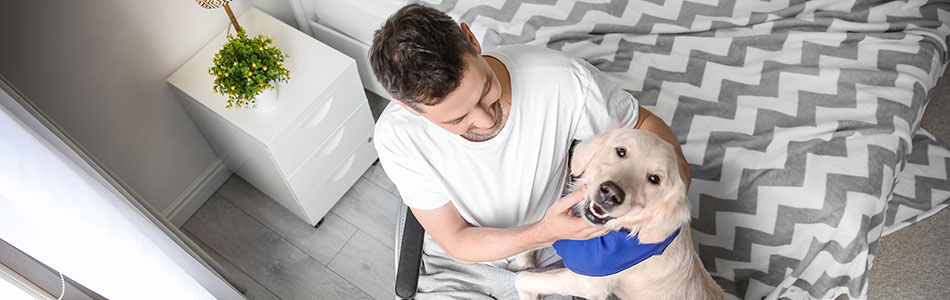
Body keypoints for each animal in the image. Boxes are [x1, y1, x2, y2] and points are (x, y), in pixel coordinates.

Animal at [516, 128, 724, 300]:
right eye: (621, 151)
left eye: (654, 179)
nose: (611, 193)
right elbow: (536, 232)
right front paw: (523, 261)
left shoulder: (588, 283)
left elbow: (523, 279)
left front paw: (527, 291)